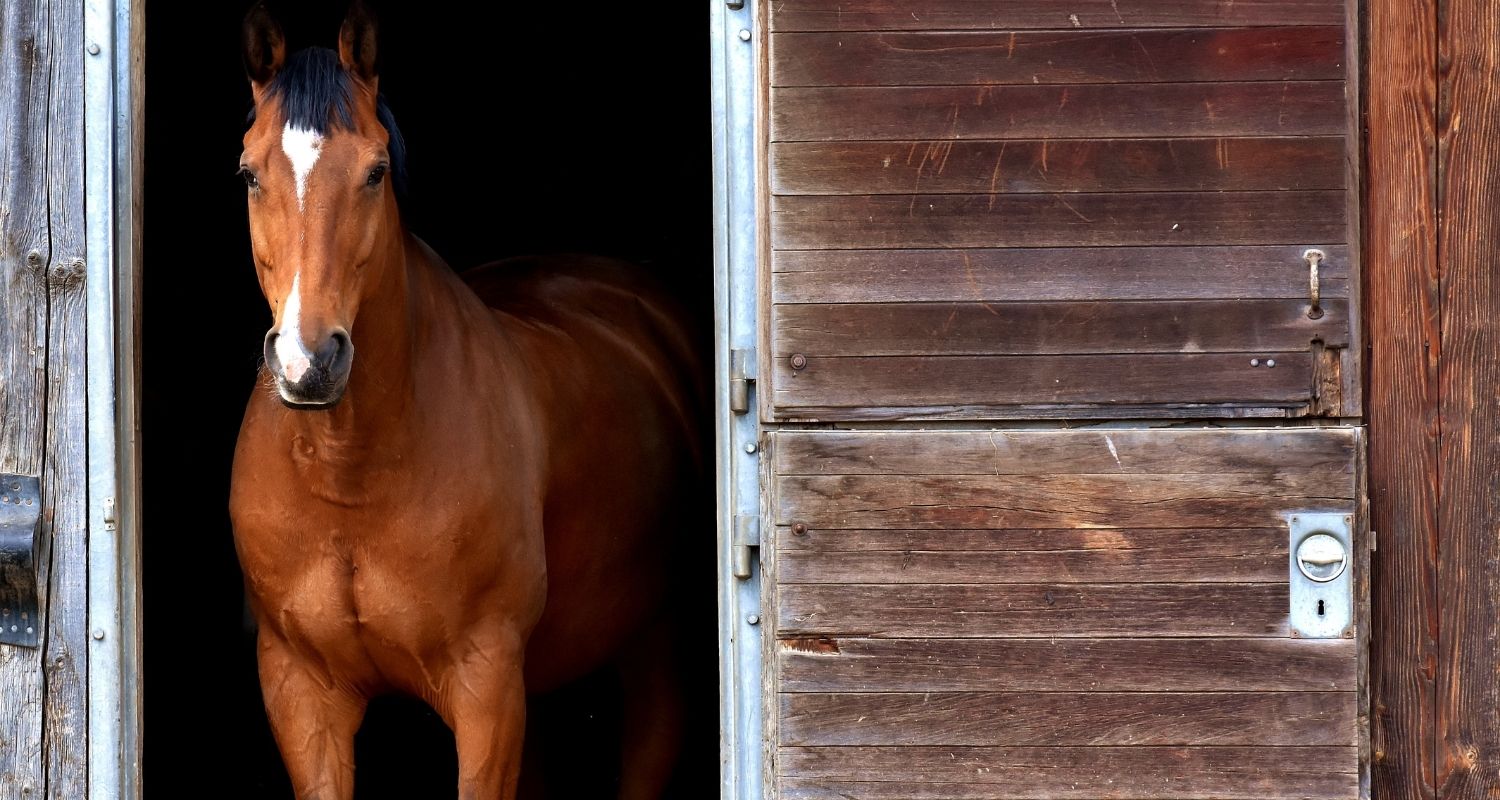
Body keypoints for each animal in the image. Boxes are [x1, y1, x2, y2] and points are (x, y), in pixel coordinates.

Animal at [226, 4, 702, 792]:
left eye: (375, 172)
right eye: (249, 172)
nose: (308, 362)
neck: (351, 476)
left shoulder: (486, 686)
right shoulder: (299, 690)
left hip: (649, 648)